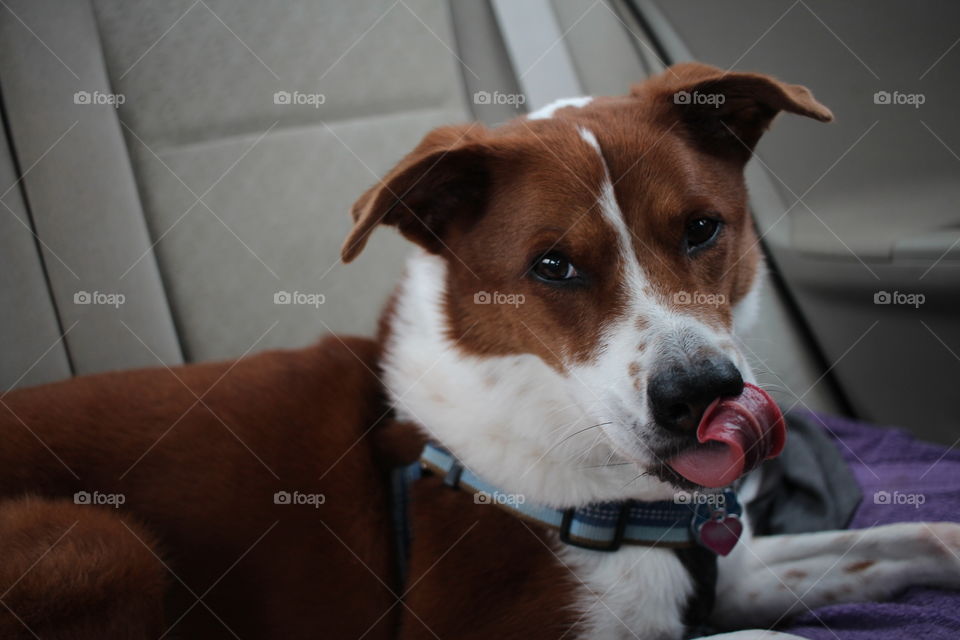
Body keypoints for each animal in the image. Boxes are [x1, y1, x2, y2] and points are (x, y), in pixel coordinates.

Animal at [1, 63, 960, 640]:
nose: (701, 395)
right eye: (552, 265)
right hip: (94, 540)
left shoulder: (726, 572)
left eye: (701, 229)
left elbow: (915, 536)